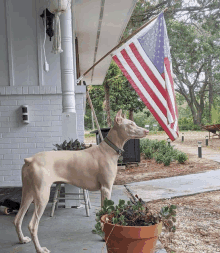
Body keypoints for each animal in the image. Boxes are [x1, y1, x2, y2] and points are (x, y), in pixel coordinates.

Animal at [13, 109, 148, 253]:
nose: (147, 131)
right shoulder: (106, 188)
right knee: (32, 225)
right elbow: (105, 212)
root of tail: (30, 159)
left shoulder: (103, 190)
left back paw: (22, 240)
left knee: (17, 219)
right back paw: (40, 249)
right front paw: (104, 234)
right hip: (42, 195)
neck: (108, 150)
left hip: (28, 193)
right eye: (131, 124)